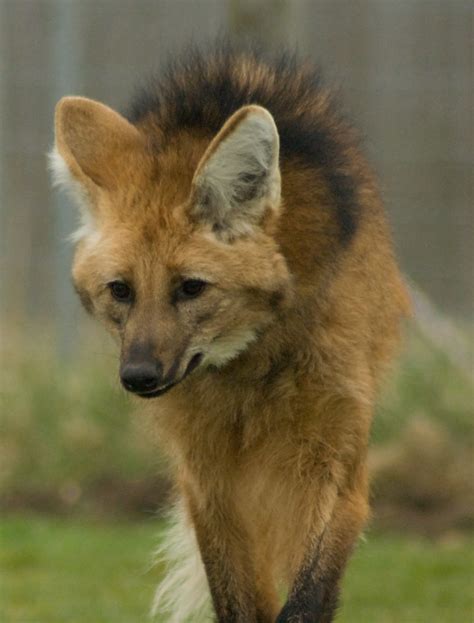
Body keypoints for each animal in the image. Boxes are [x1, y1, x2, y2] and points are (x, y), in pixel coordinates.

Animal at [50, 45, 410, 623]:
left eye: (191, 287)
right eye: (121, 290)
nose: (138, 376)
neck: (252, 360)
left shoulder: (335, 458)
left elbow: (306, 596)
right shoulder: (210, 479)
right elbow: (237, 599)